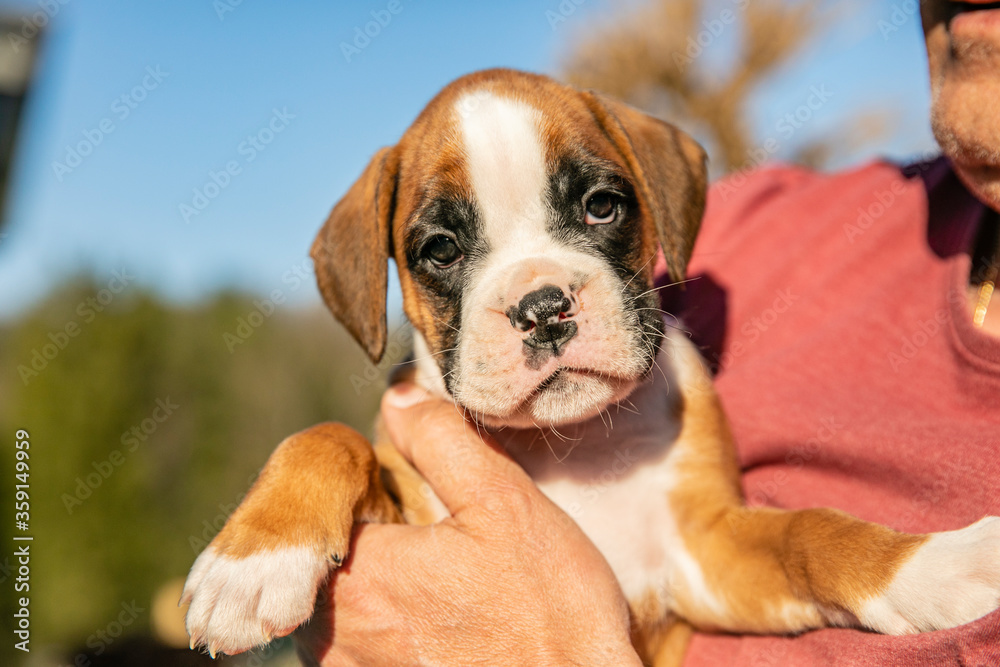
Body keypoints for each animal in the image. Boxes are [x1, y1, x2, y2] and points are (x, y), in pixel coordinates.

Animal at [180, 70, 1000, 664]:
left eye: (602, 206)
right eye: (440, 250)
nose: (542, 306)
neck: (570, 446)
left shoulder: (708, 552)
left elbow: (814, 534)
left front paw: (937, 563)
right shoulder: (402, 500)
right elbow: (325, 437)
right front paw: (254, 560)